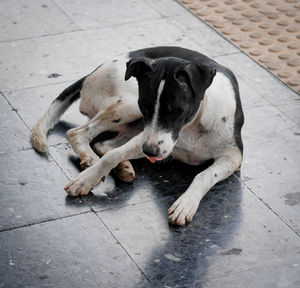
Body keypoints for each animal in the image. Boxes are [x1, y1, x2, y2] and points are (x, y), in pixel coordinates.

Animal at [30, 46, 244, 226]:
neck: (196, 122)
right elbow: (112, 155)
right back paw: (92, 158)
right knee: (78, 133)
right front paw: (86, 179)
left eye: (176, 110)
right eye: (146, 105)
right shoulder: (148, 137)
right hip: (128, 105)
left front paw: (186, 203)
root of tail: (91, 73)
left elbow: (204, 175)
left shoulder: (233, 156)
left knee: (103, 144)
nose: (149, 151)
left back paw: (122, 167)